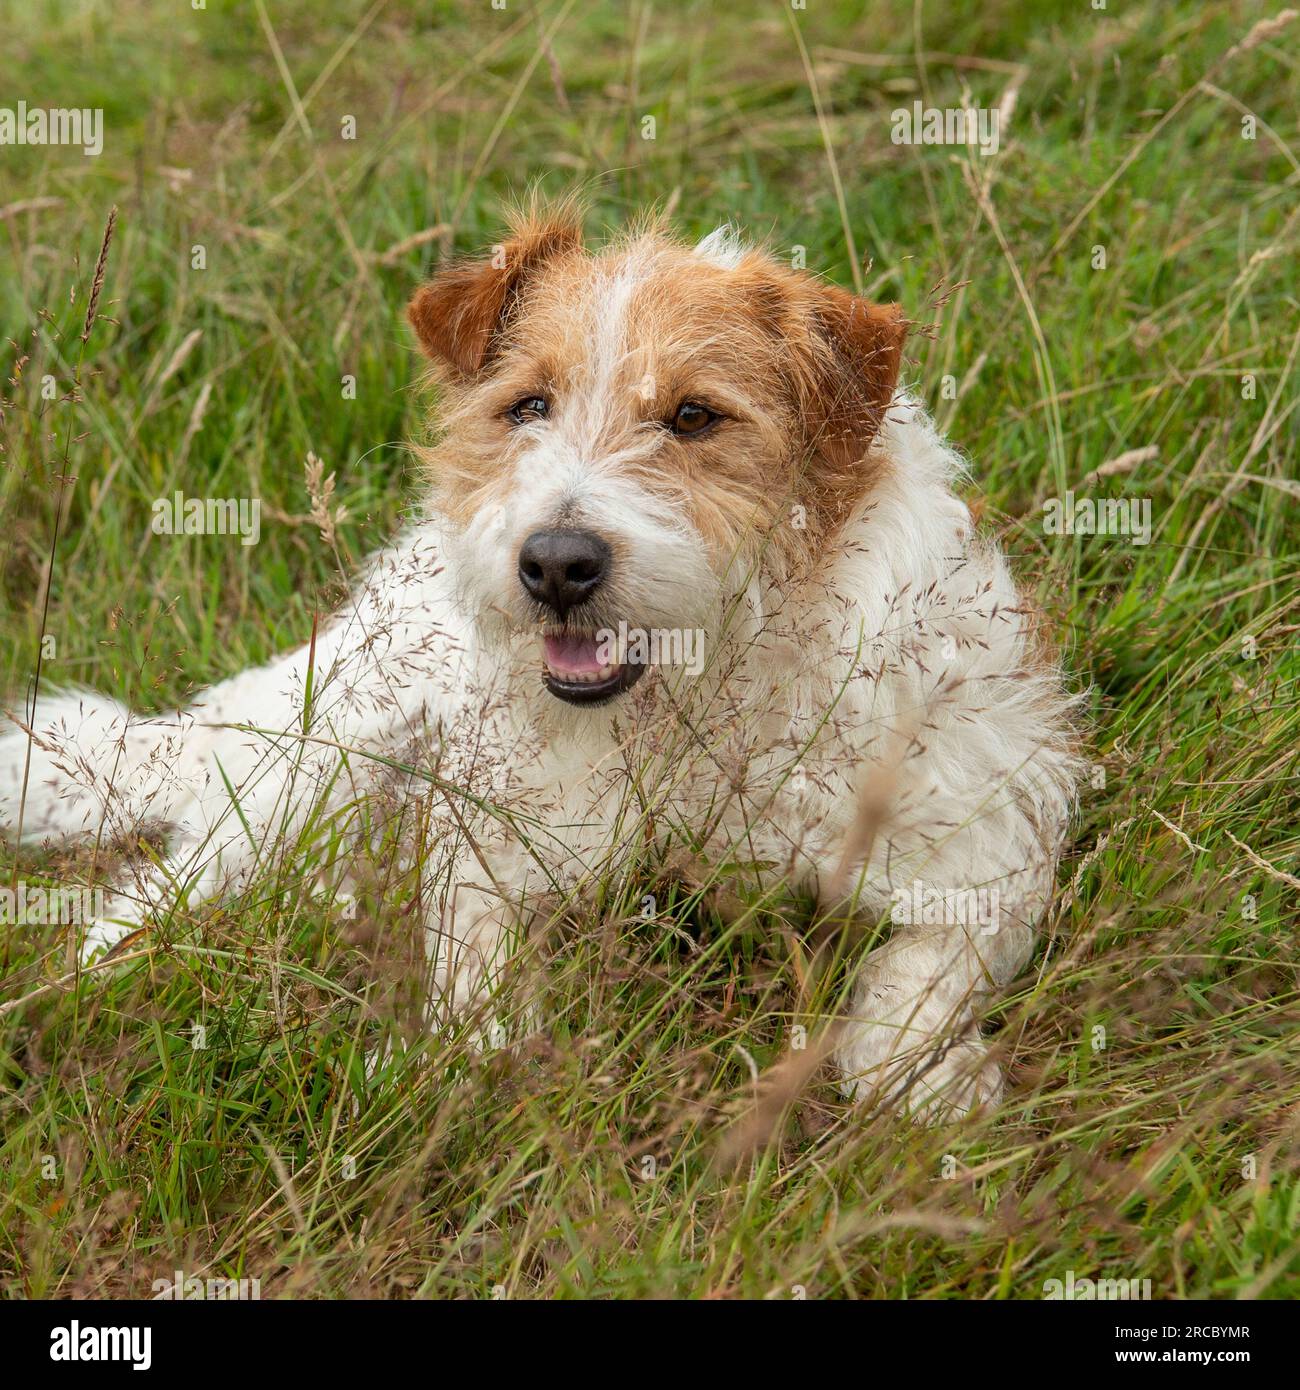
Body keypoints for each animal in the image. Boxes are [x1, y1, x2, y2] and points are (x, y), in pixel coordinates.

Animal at [2, 201, 1078, 1117]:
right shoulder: (488, 841)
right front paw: (477, 1060)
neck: (694, 702)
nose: (557, 564)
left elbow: (917, 978)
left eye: (694, 417)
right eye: (528, 407)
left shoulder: (984, 836)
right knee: (152, 900)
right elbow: (477, 976)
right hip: (313, 771)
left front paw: (926, 1083)